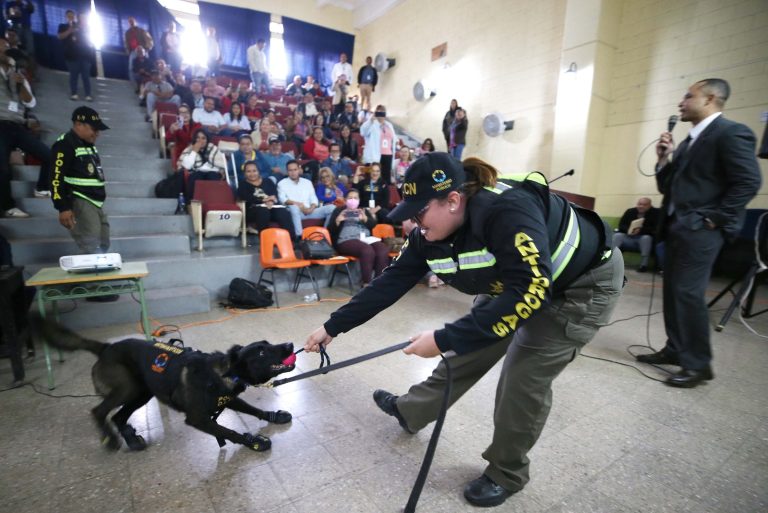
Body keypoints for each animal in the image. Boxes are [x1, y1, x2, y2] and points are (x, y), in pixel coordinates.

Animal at [39, 320, 296, 452]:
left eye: (268, 343)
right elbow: (227, 431)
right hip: (127, 389)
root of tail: (105, 348)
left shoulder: (229, 399)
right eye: (261, 352)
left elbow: (253, 409)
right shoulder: (197, 419)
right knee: (100, 411)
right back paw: (111, 439)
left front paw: (273, 415)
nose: (290, 344)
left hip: (141, 393)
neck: (224, 373)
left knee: (118, 416)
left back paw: (131, 440)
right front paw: (253, 441)